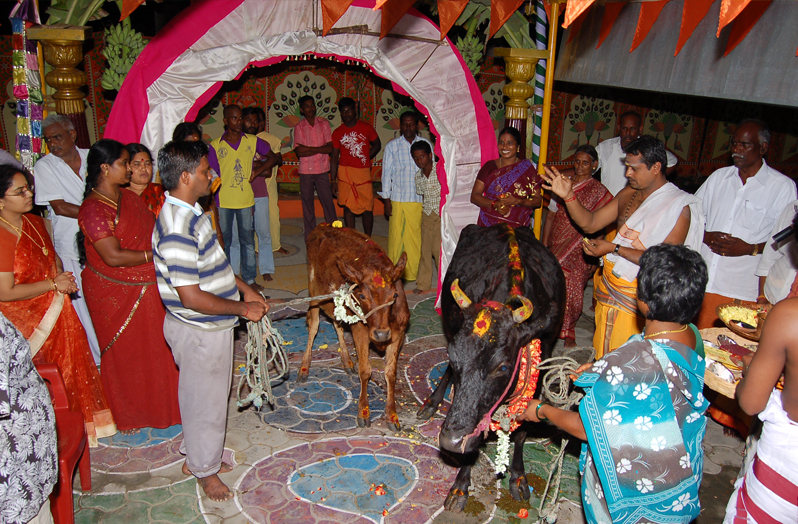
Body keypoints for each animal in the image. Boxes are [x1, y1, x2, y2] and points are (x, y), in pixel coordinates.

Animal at [301, 224, 410, 431]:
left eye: (394, 295)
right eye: (361, 295)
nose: (381, 333)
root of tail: (321, 226)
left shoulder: (398, 332)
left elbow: (391, 373)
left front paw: (392, 415)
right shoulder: (360, 330)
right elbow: (365, 371)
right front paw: (363, 411)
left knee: (337, 324)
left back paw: (346, 361)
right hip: (314, 294)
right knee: (313, 327)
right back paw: (304, 367)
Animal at [418, 223, 565, 511]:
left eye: (503, 367)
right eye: (454, 356)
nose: (450, 441)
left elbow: (521, 432)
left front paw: (518, 477)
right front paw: (460, 487)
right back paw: (431, 402)